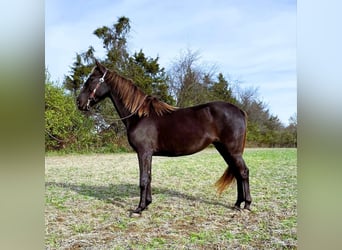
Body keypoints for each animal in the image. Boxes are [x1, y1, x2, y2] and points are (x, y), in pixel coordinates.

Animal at [77, 59, 251, 214]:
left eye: (91, 79)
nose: (79, 102)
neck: (139, 115)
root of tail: (239, 110)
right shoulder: (148, 154)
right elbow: (149, 177)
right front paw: (147, 204)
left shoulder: (143, 152)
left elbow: (143, 179)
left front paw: (139, 209)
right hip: (224, 149)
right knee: (237, 173)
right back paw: (237, 204)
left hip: (232, 151)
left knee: (243, 172)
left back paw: (247, 205)